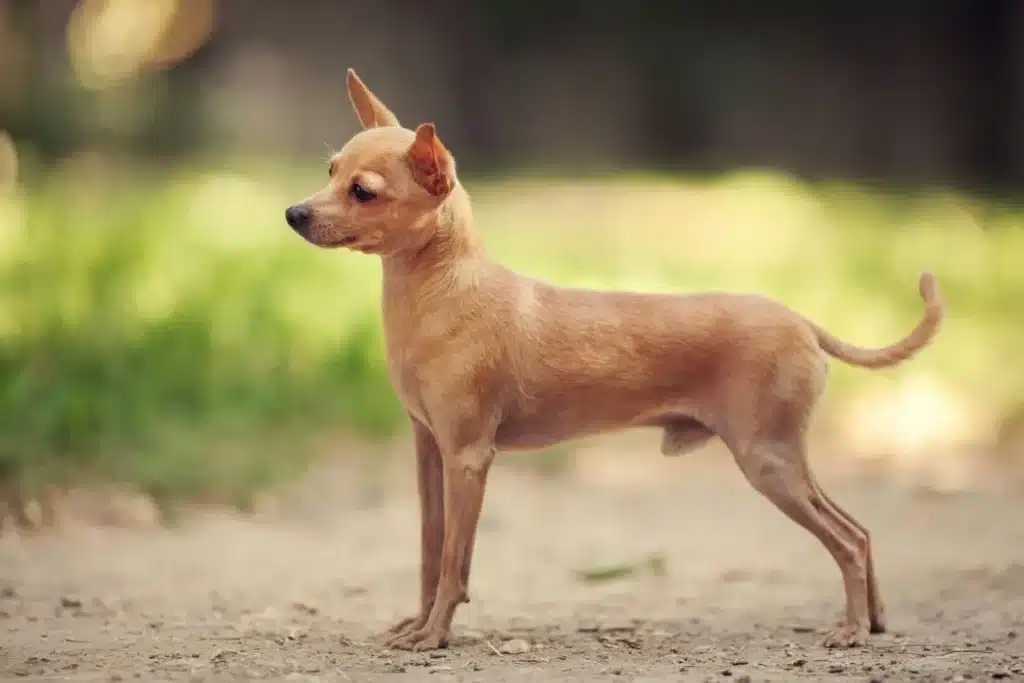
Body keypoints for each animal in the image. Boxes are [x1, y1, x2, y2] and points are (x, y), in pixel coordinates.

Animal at [284, 69, 946, 651]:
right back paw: (874, 621)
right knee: (860, 530)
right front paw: (419, 624)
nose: (294, 214)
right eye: (330, 172)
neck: (440, 291)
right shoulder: (430, 452)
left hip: (769, 463)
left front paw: (435, 636)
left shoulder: (468, 458)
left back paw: (852, 630)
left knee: (848, 541)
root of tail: (801, 321)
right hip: (784, 461)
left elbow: (453, 564)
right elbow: (430, 552)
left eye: (363, 192)